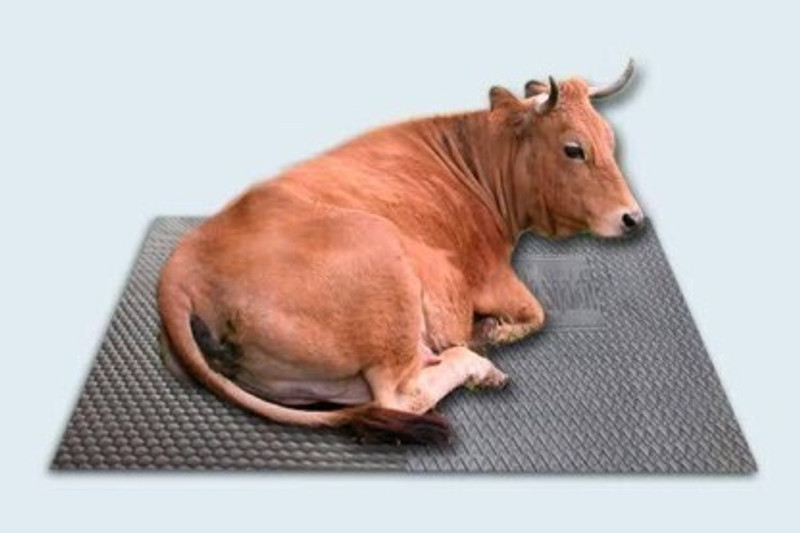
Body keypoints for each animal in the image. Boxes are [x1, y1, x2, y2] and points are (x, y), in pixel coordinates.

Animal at [157, 61, 643, 444]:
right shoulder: (489, 275)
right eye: (574, 149)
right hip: (386, 272)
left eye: (611, 141)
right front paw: (492, 333)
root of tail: (181, 268)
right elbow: (537, 313)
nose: (633, 218)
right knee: (400, 395)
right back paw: (478, 363)